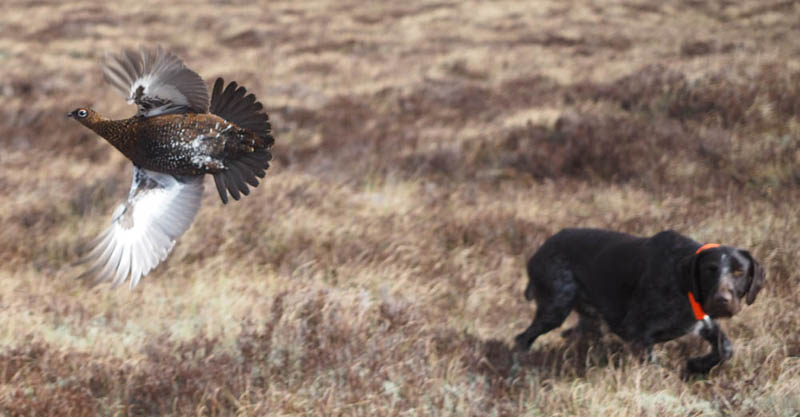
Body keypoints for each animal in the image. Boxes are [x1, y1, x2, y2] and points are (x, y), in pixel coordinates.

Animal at [516, 229, 764, 372]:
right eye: (709, 270)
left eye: (739, 271)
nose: (722, 300)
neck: (682, 283)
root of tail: (538, 251)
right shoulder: (636, 331)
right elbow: (655, 367)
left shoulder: (704, 323)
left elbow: (725, 349)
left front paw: (697, 366)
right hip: (555, 308)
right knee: (522, 339)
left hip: (585, 318)